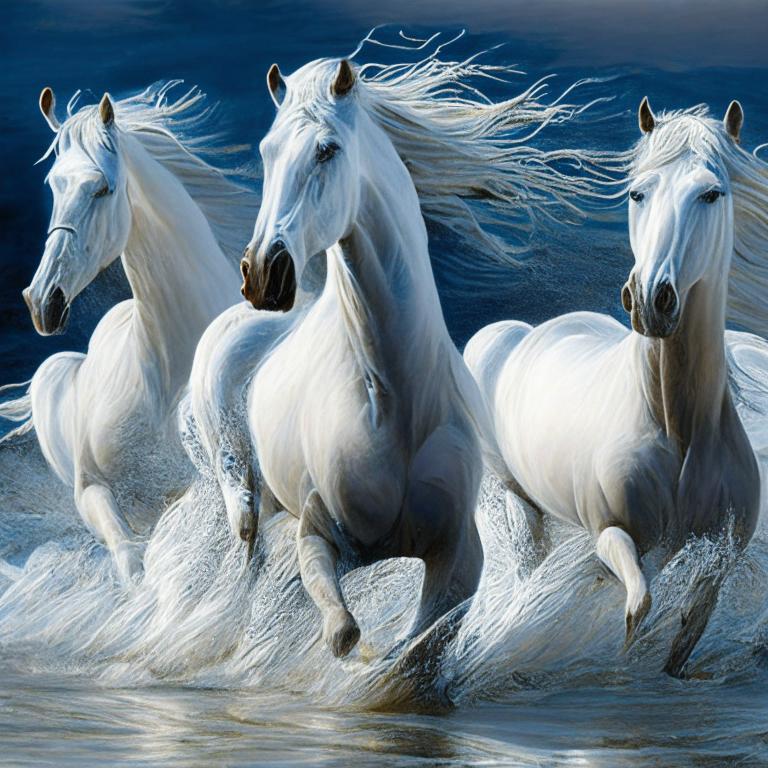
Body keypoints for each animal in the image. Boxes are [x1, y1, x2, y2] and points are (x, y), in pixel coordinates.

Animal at [197, 50, 619, 659]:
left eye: (327, 149)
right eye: (266, 151)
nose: (261, 274)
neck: (395, 401)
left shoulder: (458, 557)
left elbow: (420, 646)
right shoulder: (320, 535)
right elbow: (343, 631)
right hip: (242, 491)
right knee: (249, 547)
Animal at [465, 98, 768, 676]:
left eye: (711, 193)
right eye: (636, 193)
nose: (650, 299)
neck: (675, 426)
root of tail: (509, 335)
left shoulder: (718, 558)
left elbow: (686, 627)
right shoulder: (612, 536)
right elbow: (638, 608)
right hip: (515, 498)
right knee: (525, 554)